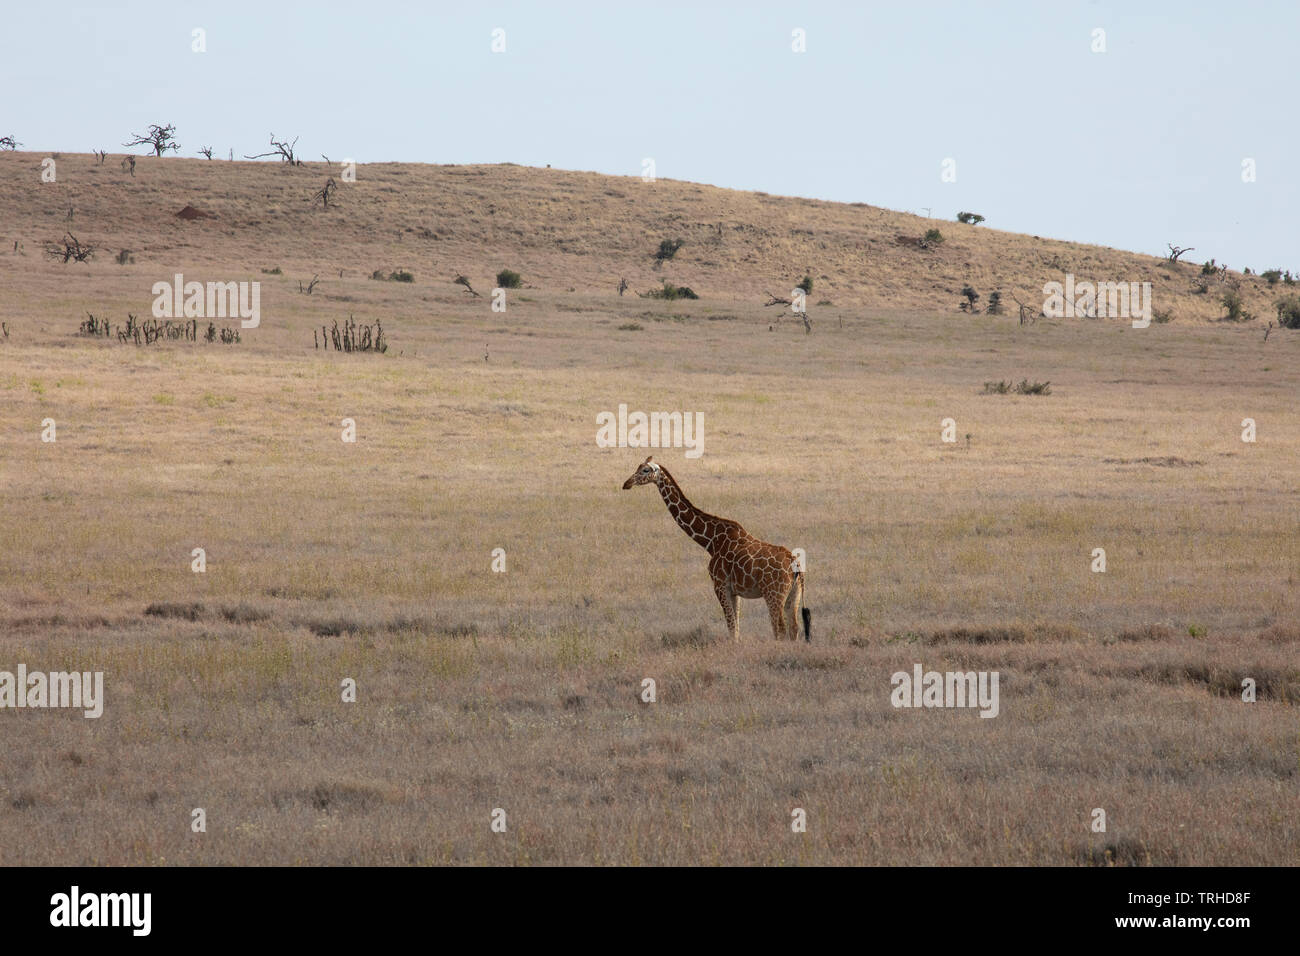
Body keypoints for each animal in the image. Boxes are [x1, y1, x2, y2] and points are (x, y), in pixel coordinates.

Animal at [621, 457, 811, 642]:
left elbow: (732, 628)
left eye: (645, 470)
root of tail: (796, 566)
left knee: (780, 630)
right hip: (793, 594)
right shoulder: (735, 591)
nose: (626, 483)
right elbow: (736, 628)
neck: (711, 541)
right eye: (638, 467)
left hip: (774, 594)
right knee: (794, 629)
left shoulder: (720, 585)